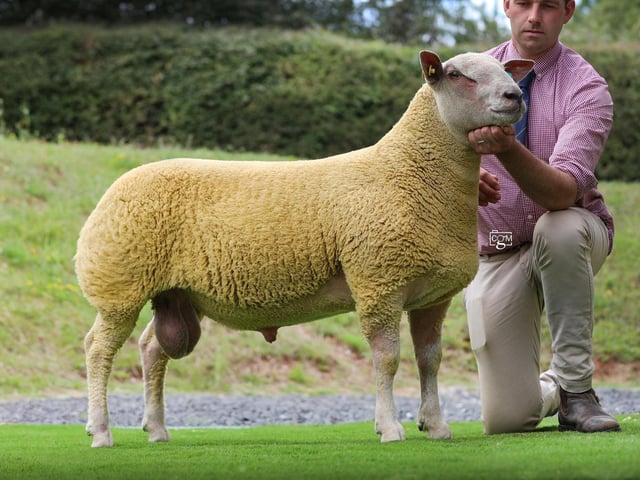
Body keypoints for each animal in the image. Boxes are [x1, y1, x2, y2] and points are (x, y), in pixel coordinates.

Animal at [76, 50, 533, 448]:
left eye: (503, 69)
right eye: (456, 75)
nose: (515, 95)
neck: (410, 173)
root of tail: (111, 193)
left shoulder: (432, 296)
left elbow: (429, 360)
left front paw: (435, 425)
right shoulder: (378, 283)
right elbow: (387, 360)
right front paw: (389, 428)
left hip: (176, 293)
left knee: (152, 350)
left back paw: (156, 429)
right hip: (119, 285)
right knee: (99, 349)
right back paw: (100, 431)